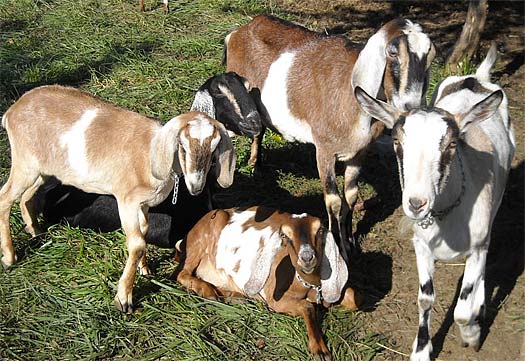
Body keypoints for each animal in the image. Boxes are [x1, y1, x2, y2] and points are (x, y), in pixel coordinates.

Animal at [0, 85, 233, 312]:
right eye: (182, 146)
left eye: (214, 149)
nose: (196, 186)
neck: (150, 154)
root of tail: (12, 110)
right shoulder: (126, 200)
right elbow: (137, 244)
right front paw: (123, 299)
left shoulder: (143, 203)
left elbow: (144, 231)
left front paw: (145, 269)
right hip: (25, 162)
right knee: (5, 198)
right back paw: (10, 257)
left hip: (43, 168)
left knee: (26, 196)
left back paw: (35, 231)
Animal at [174, 205, 358, 360]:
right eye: (285, 235)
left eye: (319, 230)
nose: (307, 257)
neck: (309, 285)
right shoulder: (275, 298)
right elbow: (307, 306)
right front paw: (319, 350)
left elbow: (355, 299)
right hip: (199, 242)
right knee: (181, 274)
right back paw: (208, 291)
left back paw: (233, 296)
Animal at [225, 15, 434, 255]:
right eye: (392, 53)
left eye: (430, 55)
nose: (411, 105)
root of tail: (240, 31)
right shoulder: (324, 150)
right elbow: (333, 200)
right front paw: (338, 245)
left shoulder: (360, 152)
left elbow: (351, 194)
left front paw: (350, 241)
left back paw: (256, 165)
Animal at [354, 44, 512, 360]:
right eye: (397, 142)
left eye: (451, 144)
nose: (417, 203)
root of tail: (476, 77)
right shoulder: (422, 247)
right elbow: (425, 298)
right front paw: (421, 350)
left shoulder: (476, 246)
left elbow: (462, 309)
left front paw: (472, 335)